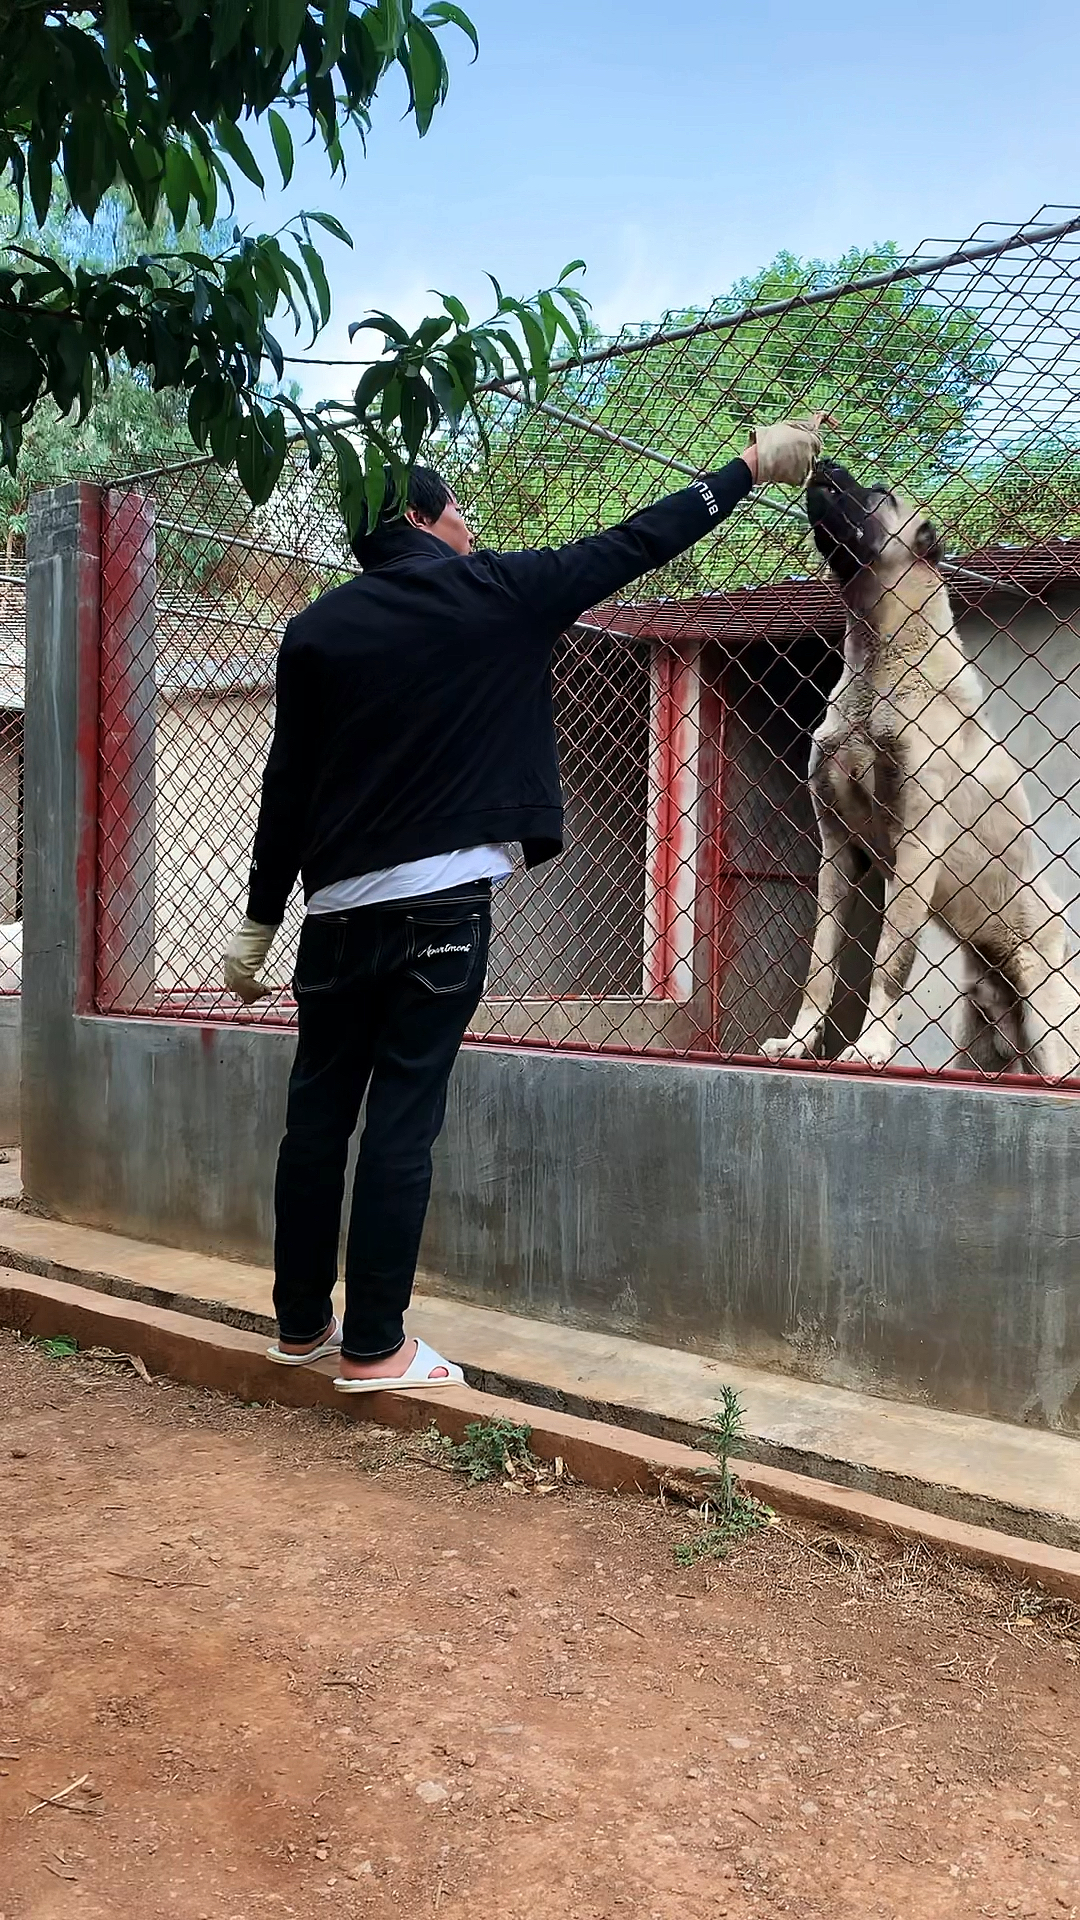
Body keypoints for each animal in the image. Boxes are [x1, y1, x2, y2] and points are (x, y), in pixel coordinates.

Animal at [757, 456, 1076, 1075]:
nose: (826, 462)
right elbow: (820, 966)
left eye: (879, 494)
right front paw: (799, 1041)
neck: (878, 661)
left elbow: (890, 960)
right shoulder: (837, 852)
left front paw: (872, 1045)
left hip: (1052, 1032)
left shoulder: (916, 845)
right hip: (976, 1035)